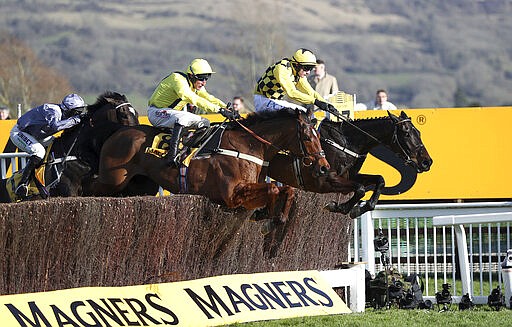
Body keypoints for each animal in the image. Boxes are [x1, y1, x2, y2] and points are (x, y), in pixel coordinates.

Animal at [0, 91, 140, 202]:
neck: (77, 153)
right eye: (124, 114)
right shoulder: (70, 192)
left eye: (137, 114)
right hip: (17, 135)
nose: (137, 134)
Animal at [84, 110, 330, 226]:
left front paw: (279, 217)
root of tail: (118, 130)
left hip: (139, 183)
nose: (324, 167)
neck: (248, 145)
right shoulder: (231, 194)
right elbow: (273, 189)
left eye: (319, 135)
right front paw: (267, 214)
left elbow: (287, 189)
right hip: (112, 178)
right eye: (308, 137)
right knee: (88, 187)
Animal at [268, 111, 432, 219]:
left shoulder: (349, 176)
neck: (346, 142)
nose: (427, 162)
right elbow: (360, 189)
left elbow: (379, 180)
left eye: (418, 132)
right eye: (406, 133)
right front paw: (340, 207)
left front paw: (359, 209)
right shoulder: (324, 180)